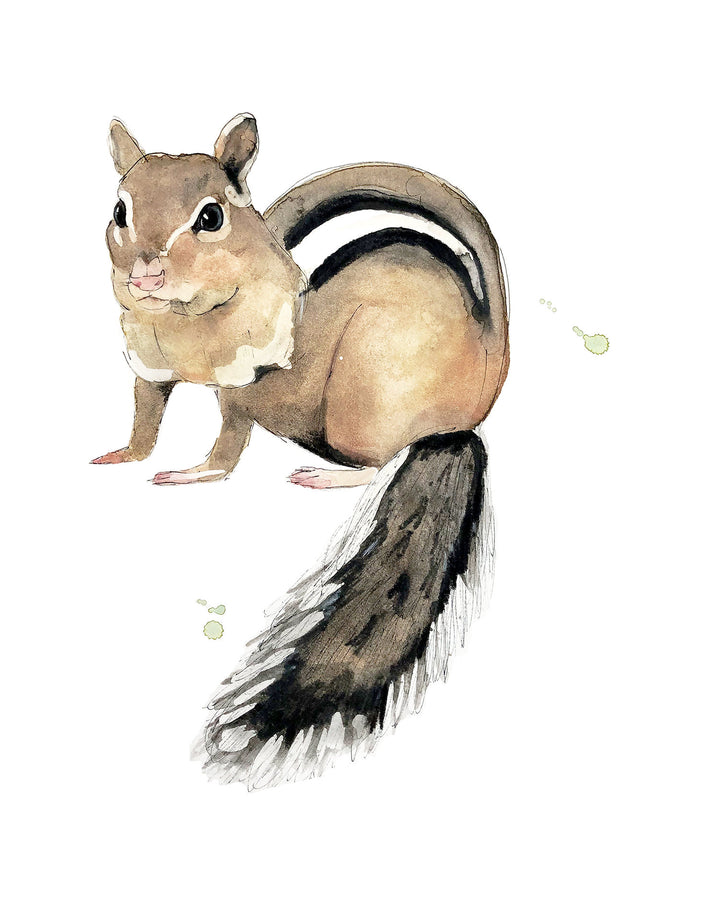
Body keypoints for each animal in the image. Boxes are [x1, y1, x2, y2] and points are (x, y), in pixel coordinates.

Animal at [94, 113, 509, 788]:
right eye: (119, 210)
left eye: (210, 217)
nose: (145, 276)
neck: (181, 326)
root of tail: (468, 410)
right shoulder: (147, 374)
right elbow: (145, 420)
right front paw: (123, 454)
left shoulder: (245, 389)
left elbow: (227, 446)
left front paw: (193, 472)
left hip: (363, 398)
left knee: (376, 463)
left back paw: (329, 476)